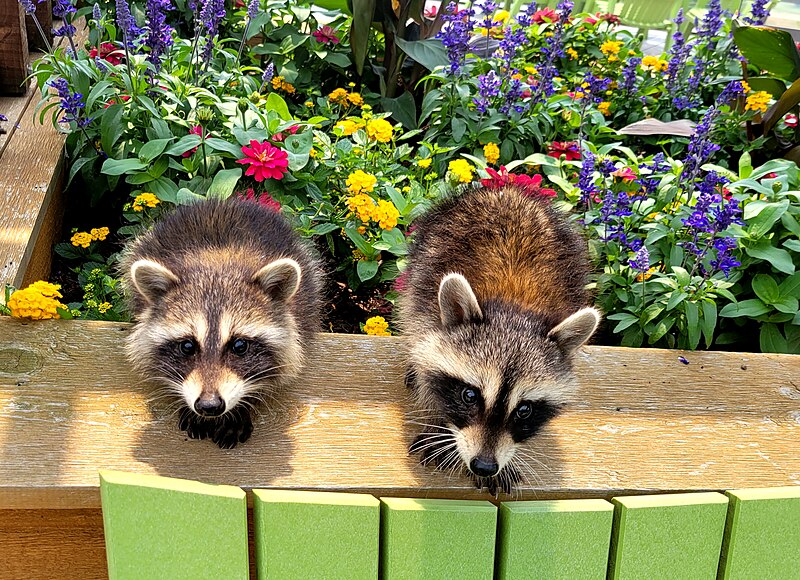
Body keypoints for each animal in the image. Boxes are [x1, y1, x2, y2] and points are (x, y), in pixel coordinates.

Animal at [120, 198, 320, 448]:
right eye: (187, 346)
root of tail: (221, 200)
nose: (208, 406)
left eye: (239, 346)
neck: (217, 263)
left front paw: (241, 409)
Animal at [400, 186, 600, 494]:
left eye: (524, 410)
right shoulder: (426, 310)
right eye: (469, 396)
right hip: (425, 255)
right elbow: (425, 365)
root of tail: (507, 189)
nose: (484, 465)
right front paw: (440, 423)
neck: (514, 306)